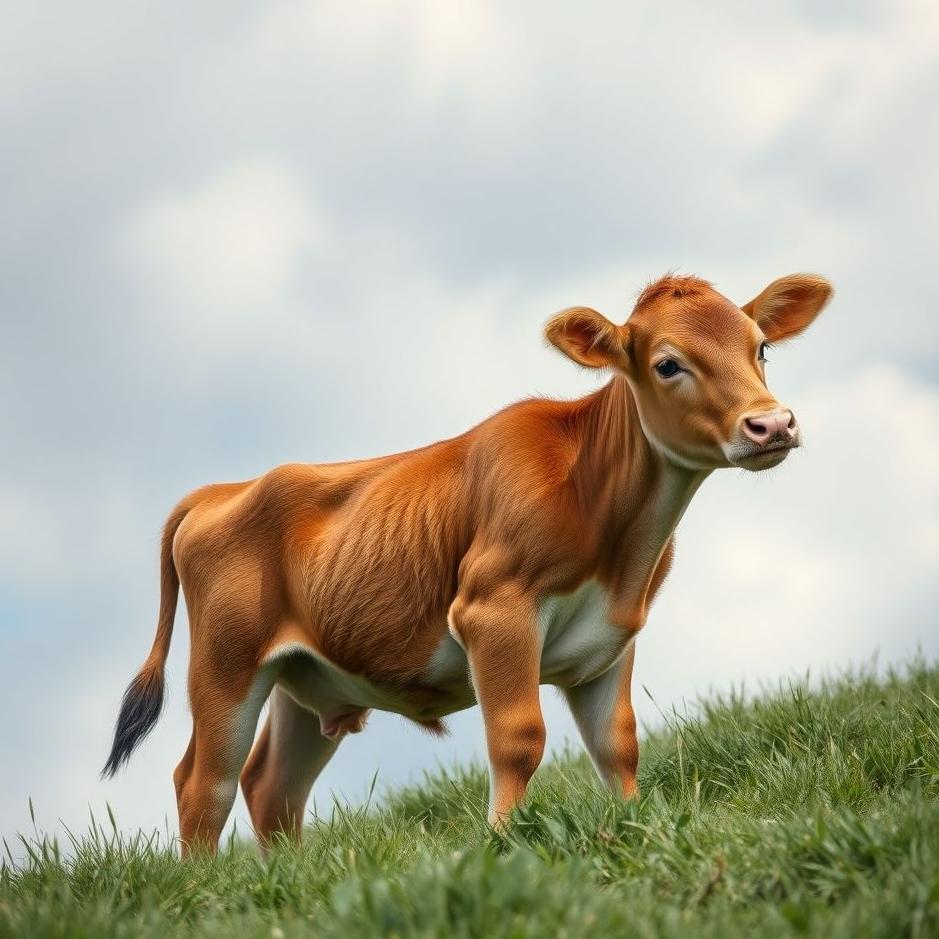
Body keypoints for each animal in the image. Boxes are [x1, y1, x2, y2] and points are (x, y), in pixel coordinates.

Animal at [103, 272, 832, 855]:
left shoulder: (612, 637)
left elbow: (617, 743)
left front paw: (633, 828)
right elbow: (518, 736)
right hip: (225, 662)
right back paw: (203, 886)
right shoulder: (494, 610)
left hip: (305, 674)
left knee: (271, 786)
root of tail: (222, 488)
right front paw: (503, 842)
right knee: (205, 782)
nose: (771, 424)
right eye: (668, 364)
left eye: (760, 347)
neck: (617, 543)